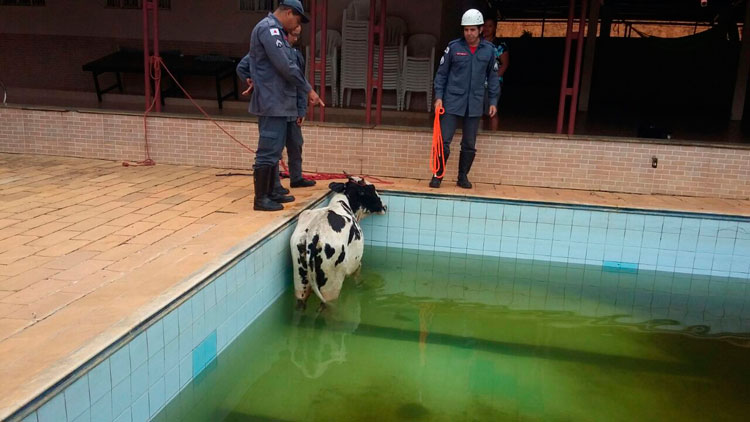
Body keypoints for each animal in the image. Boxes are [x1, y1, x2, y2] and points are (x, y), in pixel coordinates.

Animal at [290, 175, 388, 310]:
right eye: (371, 189)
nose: (385, 206)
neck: (341, 204)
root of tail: (314, 233)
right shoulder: (356, 264)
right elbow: (358, 277)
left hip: (301, 283)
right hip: (331, 288)